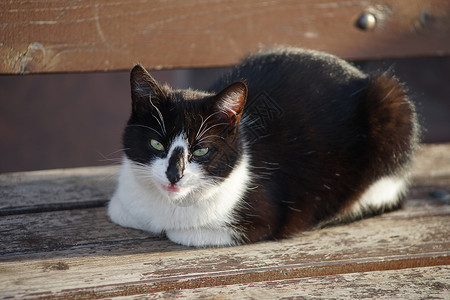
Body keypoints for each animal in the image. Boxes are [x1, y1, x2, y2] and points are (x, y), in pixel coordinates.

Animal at [107, 48, 420, 247]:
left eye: (201, 150)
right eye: (156, 143)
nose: (174, 175)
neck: (168, 205)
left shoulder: (260, 218)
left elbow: (183, 233)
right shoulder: (123, 205)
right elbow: (120, 212)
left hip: (392, 106)